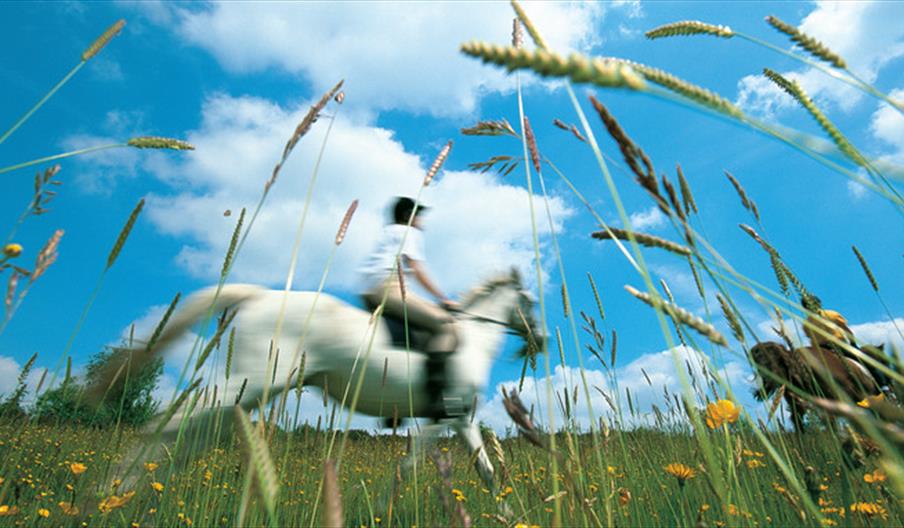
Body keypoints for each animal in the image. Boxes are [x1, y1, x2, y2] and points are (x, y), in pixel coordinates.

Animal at [96, 268, 540, 496]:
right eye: (530, 301)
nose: (538, 338)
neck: (473, 336)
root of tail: (257, 297)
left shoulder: (457, 419)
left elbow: (485, 468)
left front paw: (504, 509)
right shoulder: (447, 417)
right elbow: (409, 467)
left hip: (242, 395)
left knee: (191, 434)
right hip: (245, 384)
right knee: (168, 426)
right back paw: (116, 488)